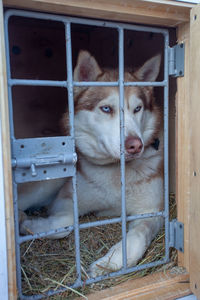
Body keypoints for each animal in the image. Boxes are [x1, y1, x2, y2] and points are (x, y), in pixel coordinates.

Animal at [19, 51, 164, 276]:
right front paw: (29, 225)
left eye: (137, 108)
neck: (115, 173)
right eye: (106, 108)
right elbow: (66, 221)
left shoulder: (151, 211)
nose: (135, 145)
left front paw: (111, 262)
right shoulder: (65, 199)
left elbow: (138, 236)